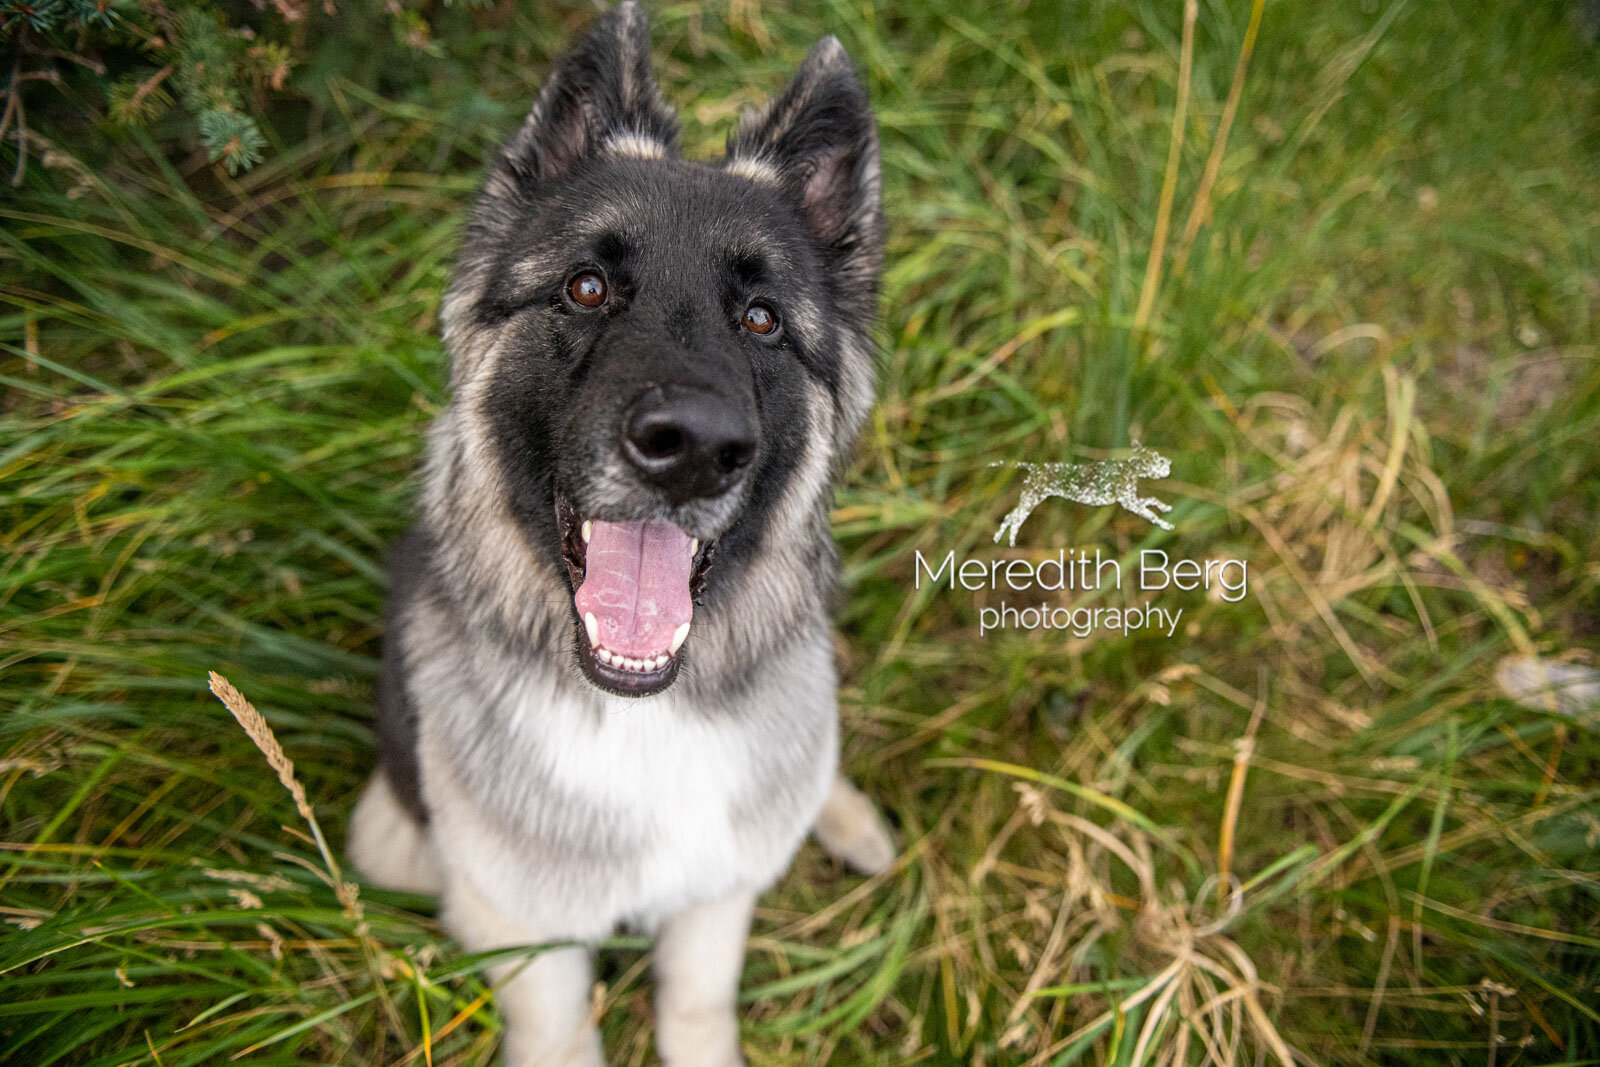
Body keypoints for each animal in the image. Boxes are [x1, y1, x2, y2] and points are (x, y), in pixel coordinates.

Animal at [348, 4, 896, 1062]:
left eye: (761, 319)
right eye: (588, 288)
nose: (694, 452)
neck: (642, 713)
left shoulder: (716, 901)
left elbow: (697, 1008)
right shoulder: (525, 933)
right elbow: (560, 1032)